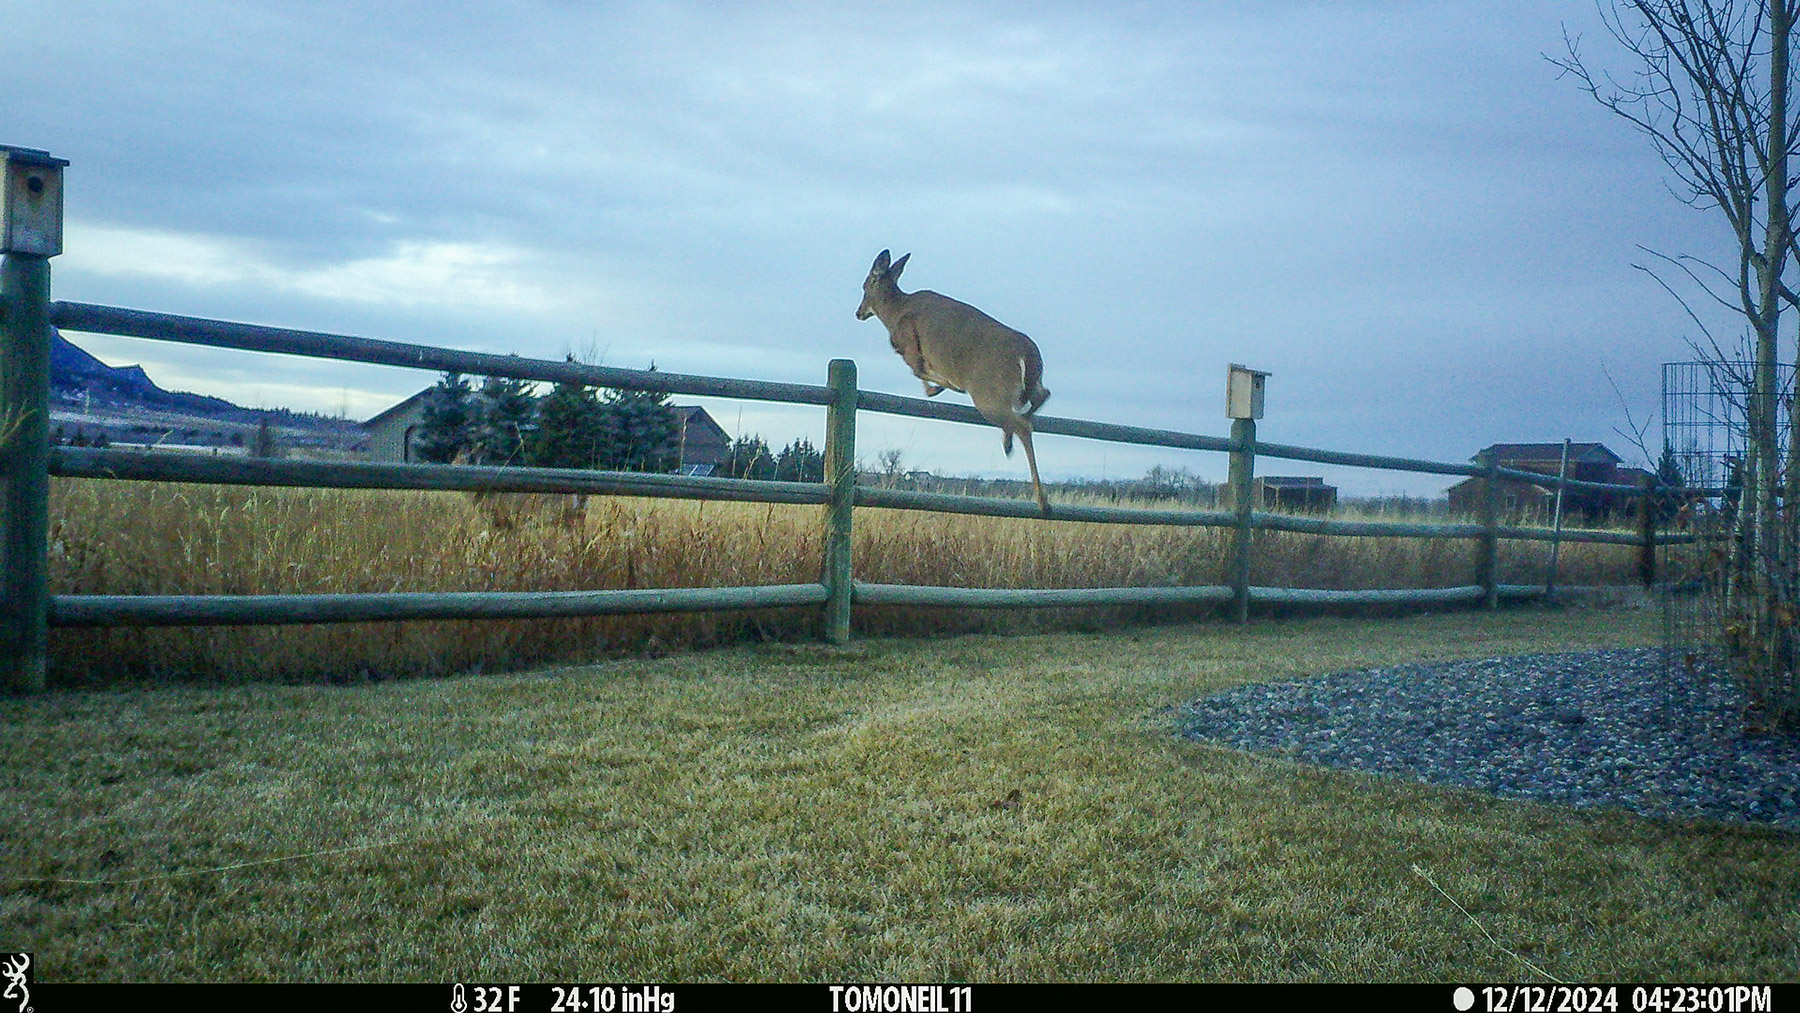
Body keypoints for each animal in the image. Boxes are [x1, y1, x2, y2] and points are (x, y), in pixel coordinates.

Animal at [855, 249, 1053, 518]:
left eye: (865, 285)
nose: (858, 312)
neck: (895, 313)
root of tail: (1027, 354)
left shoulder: (908, 345)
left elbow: (920, 373)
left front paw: (943, 385)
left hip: (987, 393)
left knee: (1023, 424)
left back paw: (1041, 499)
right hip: (1027, 386)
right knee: (1041, 397)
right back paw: (1008, 441)